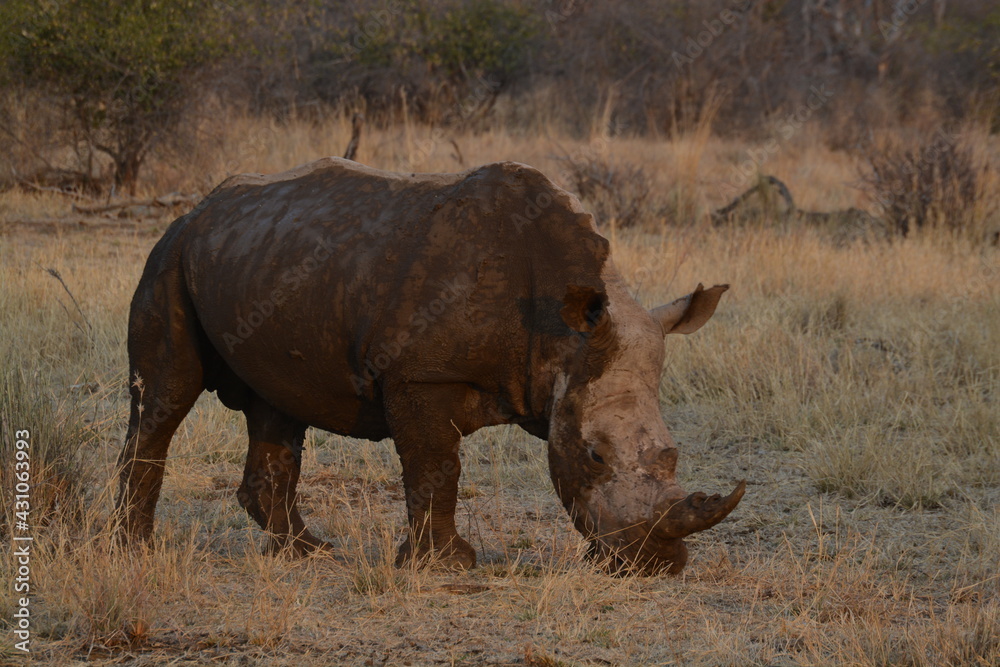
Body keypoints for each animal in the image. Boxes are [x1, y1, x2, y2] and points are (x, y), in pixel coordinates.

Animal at [116, 157, 744, 575]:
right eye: (594, 456)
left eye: (674, 454)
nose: (657, 563)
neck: (561, 332)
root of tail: (199, 207)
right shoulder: (419, 374)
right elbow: (436, 465)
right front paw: (446, 569)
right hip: (168, 255)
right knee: (166, 395)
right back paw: (135, 549)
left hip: (259, 263)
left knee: (277, 403)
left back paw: (307, 552)